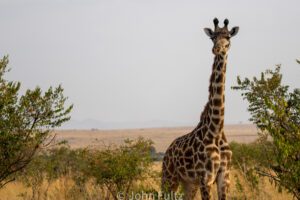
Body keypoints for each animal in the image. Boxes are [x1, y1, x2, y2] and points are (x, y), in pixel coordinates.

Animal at [162, 18, 239, 199]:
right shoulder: (206, 178)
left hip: (189, 183)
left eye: (228, 37)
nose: (216, 49)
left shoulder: (224, 177)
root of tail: (167, 151)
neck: (216, 129)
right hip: (169, 178)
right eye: (212, 38)